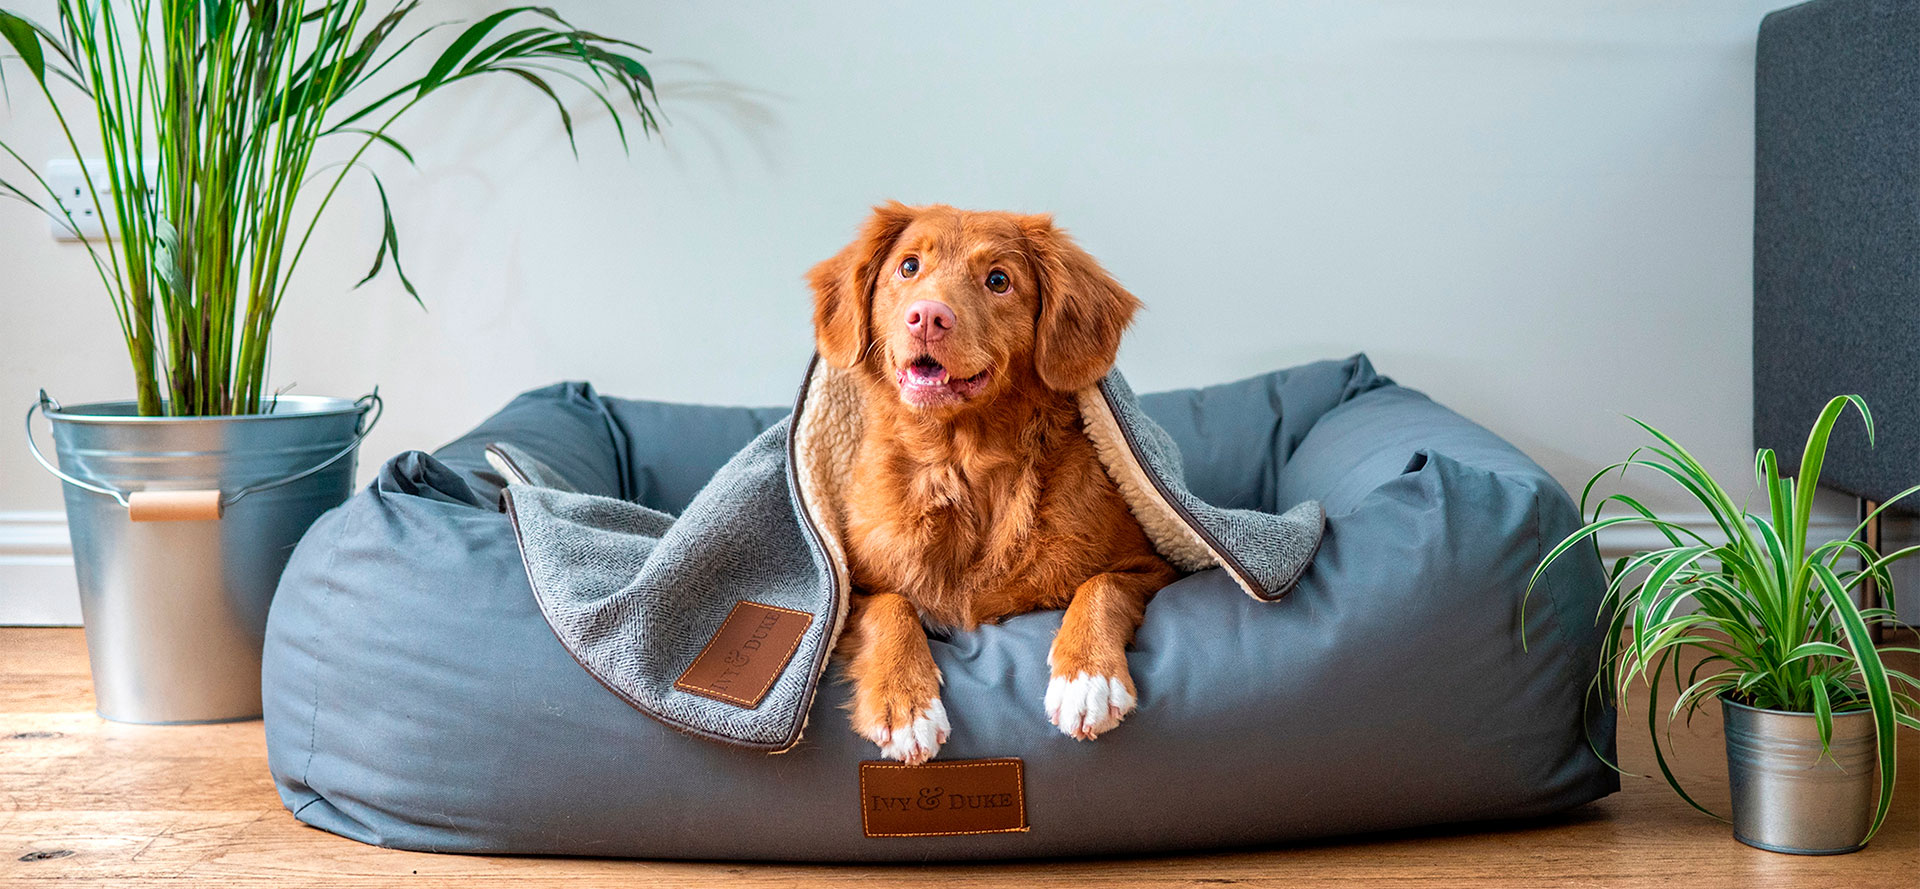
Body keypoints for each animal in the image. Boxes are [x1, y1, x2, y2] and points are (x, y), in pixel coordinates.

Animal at [802, 203, 1175, 764]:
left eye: (999, 280)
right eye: (908, 267)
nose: (927, 317)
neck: (962, 464)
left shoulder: (1155, 567)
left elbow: (1102, 585)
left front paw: (1087, 677)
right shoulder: (851, 590)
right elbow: (890, 606)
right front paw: (906, 703)